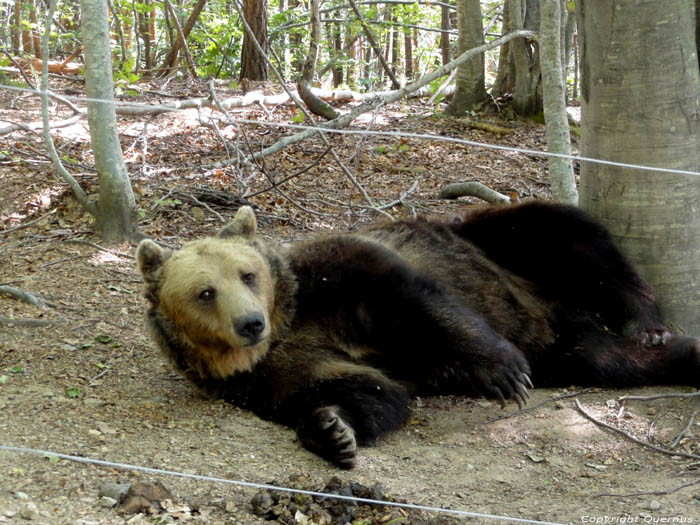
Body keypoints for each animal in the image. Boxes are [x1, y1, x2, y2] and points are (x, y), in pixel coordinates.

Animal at [137, 203, 700, 468]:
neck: (291, 317)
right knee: (608, 358)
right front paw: (332, 430)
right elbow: (369, 391)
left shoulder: (340, 271)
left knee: (570, 236)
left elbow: (416, 300)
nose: (251, 323)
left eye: (248, 274)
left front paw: (503, 372)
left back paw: (648, 323)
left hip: (491, 242)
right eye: (205, 292)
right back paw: (681, 354)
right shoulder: (273, 372)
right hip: (565, 342)